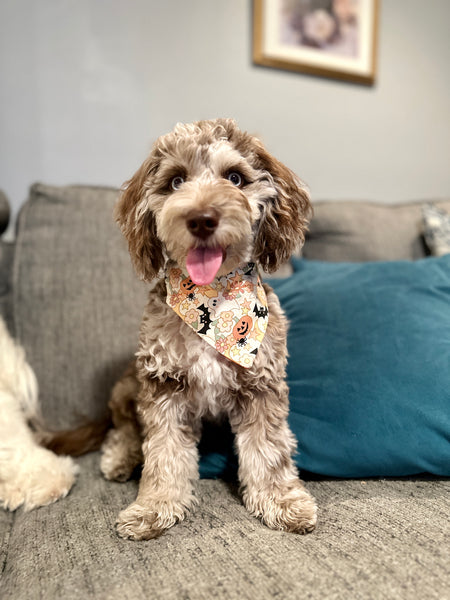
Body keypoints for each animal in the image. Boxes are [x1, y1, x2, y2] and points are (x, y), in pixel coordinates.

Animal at [100, 119, 318, 540]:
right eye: (175, 181)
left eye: (235, 177)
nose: (201, 218)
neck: (213, 301)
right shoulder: (163, 384)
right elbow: (163, 454)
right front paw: (154, 506)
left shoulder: (262, 385)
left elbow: (269, 449)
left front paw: (281, 501)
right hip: (128, 384)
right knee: (125, 427)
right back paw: (119, 456)